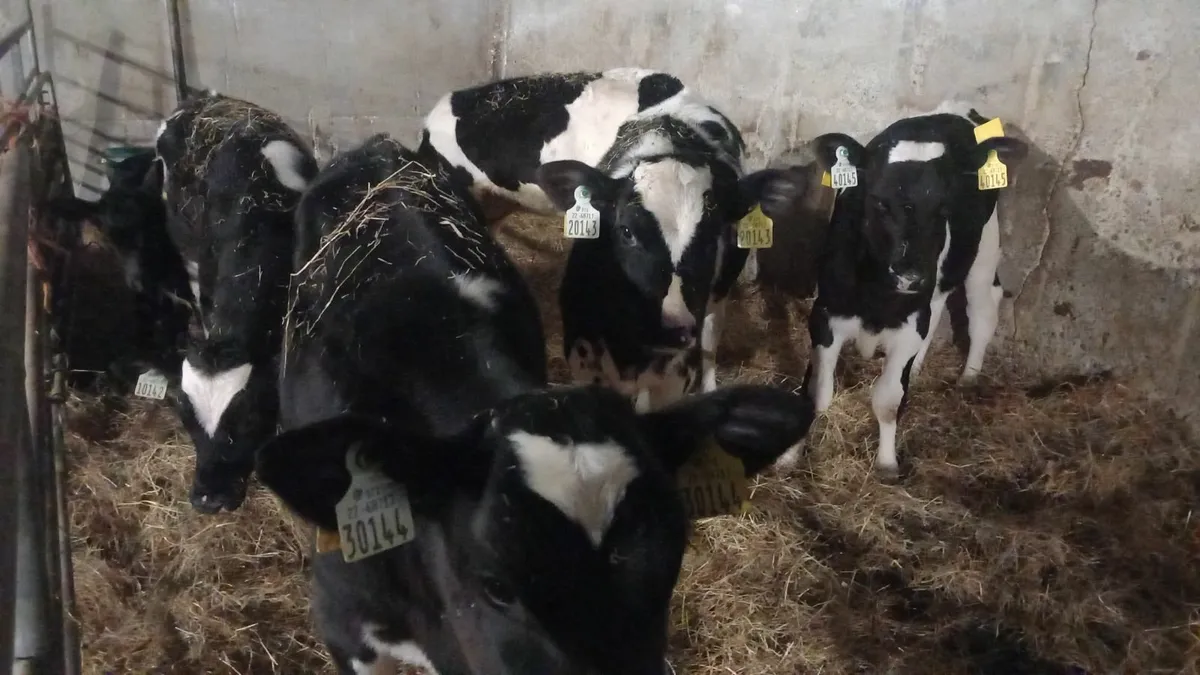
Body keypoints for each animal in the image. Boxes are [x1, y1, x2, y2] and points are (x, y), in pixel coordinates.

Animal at [741, 108, 1027, 477]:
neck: (877, 299)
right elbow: (816, 393)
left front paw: (887, 463)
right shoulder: (826, 315)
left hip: (983, 247)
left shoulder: (908, 325)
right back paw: (919, 369)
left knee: (983, 308)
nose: (910, 275)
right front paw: (789, 458)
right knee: (940, 306)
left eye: (944, 207)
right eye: (878, 201)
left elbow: (889, 401)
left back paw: (967, 377)